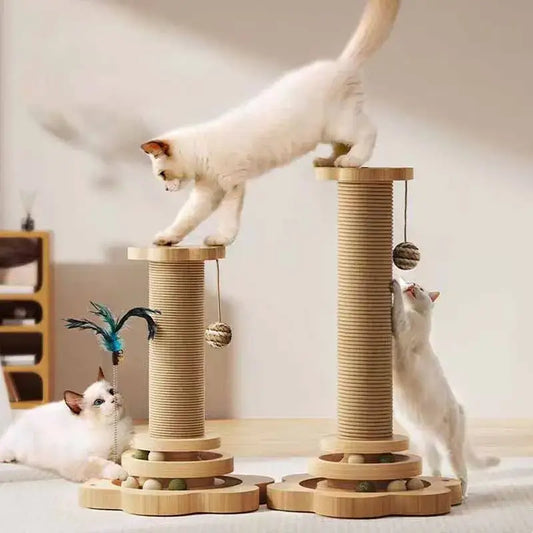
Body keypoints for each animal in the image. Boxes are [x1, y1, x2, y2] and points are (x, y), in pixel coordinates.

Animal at [0, 368, 131, 480]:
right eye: (99, 402)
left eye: (112, 391)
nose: (114, 399)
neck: (112, 428)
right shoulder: (78, 460)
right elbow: (102, 463)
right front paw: (121, 472)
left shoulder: (120, 449)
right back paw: (8, 458)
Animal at [390, 278, 498, 494]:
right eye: (412, 282)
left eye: (421, 288)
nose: (412, 285)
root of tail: (460, 408)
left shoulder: (402, 326)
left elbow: (396, 309)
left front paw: (394, 285)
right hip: (426, 444)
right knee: (436, 468)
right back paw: (431, 484)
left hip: (448, 446)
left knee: (462, 472)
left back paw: (461, 493)